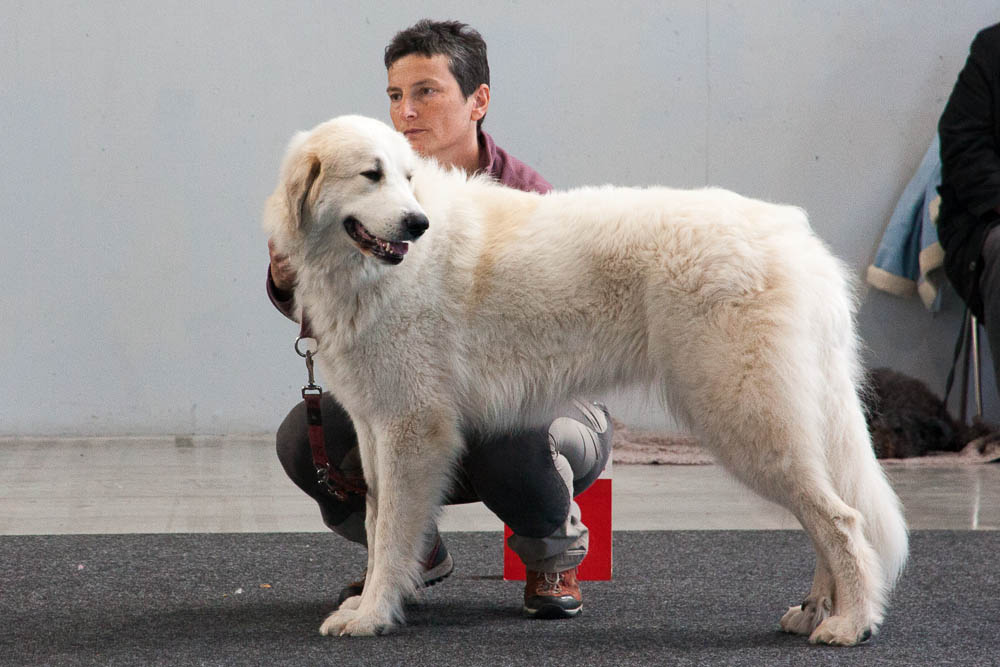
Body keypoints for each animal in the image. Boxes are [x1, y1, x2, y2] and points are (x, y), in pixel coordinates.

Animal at [264, 116, 908, 648]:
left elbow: (395, 532)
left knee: (842, 520)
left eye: (407, 178)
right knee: (833, 513)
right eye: (372, 176)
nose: (417, 224)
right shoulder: (377, 428)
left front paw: (373, 615)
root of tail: (797, 241)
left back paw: (851, 623)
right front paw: (370, 604)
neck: (364, 272)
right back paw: (817, 610)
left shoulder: (412, 430)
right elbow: (377, 527)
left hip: (747, 420)